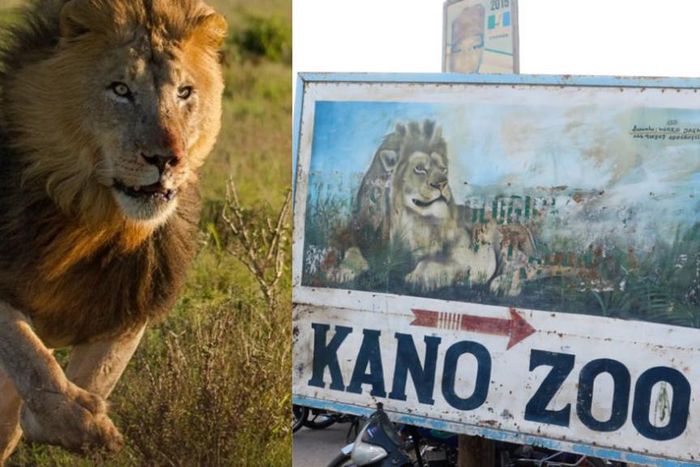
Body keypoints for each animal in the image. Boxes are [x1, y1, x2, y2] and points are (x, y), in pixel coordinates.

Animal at [0, 0, 226, 460]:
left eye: (184, 92)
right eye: (120, 89)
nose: (167, 159)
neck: (93, 217)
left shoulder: (134, 301)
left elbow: (99, 370)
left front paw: (75, 421)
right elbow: (28, 354)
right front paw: (77, 423)